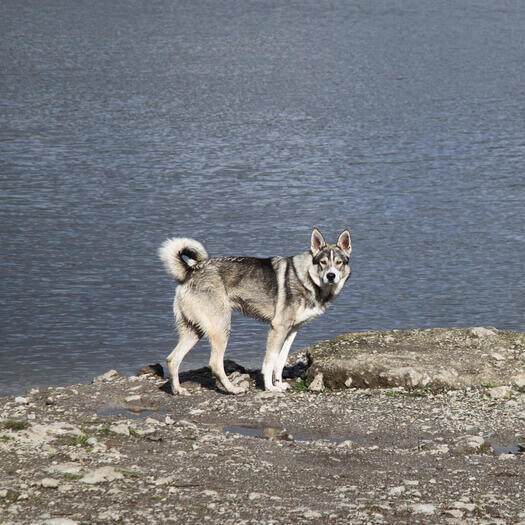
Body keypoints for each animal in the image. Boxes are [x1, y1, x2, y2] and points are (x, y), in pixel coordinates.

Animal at [158, 227, 350, 396]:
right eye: (323, 262)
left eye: (339, 263)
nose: (331, 276)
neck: (307, 279)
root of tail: (190, 271)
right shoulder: (277, 328)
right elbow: (270, 362)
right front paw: (270, 388)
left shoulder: (291, 331)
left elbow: (280, 361)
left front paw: (279, 384)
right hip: (221, 328)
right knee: (215, 364)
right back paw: (233, 389)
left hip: (194, 331)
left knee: (172, 359)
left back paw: (178, 390)